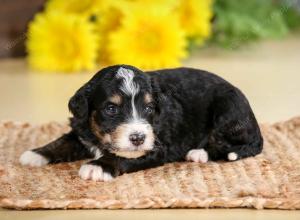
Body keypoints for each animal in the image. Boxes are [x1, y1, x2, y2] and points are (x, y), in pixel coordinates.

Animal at [19, 64, 262, 181]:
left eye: (148, 108)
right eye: (111, 109)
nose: (137, 138)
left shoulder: (157, 146)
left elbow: (121, 156)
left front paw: (98, 166)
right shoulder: (81, 131)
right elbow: (61, 142)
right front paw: (35, 154)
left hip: (228, 110)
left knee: (232, 143)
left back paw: (199, 153)